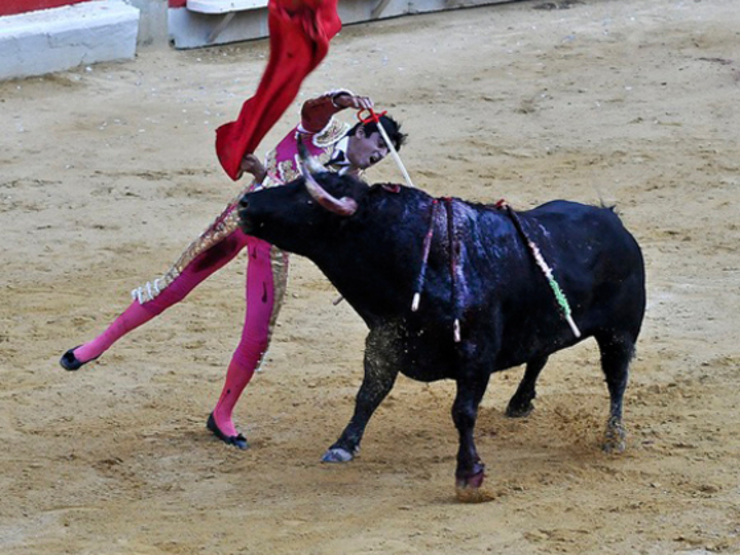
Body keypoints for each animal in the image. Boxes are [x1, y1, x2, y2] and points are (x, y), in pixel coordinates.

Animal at [240, 169, 644, 496]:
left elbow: (462, 412)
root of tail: (613, 220)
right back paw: (519, 403)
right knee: (540, 354)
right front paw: (343, 444)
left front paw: (469, 474)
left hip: (619, 332)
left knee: (617, 379)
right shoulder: (385, 339)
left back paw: (613, 437)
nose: (245, 202)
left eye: (305, 195)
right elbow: (368, 395)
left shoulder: (475, 353)